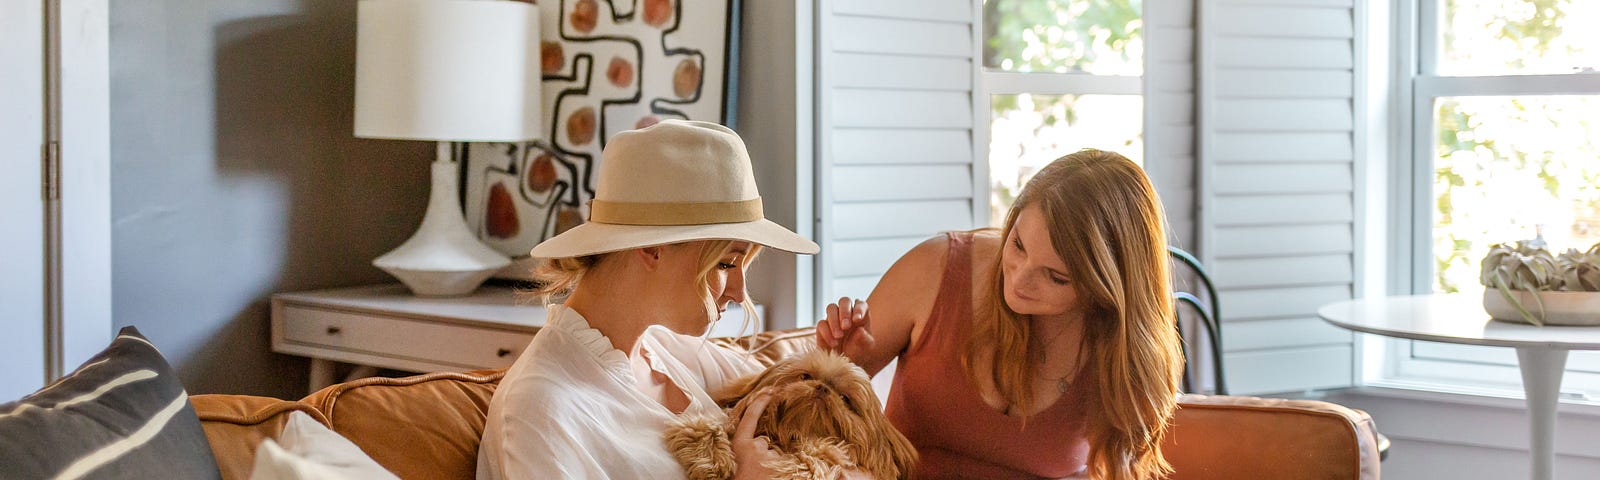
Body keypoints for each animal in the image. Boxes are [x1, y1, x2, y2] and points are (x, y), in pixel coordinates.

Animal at [659, 348, 915, 480]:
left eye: (845, 399)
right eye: (805, 376)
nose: (822, 388)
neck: (792, 434)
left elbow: (819, 459)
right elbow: (707, 426)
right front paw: (710, 459)